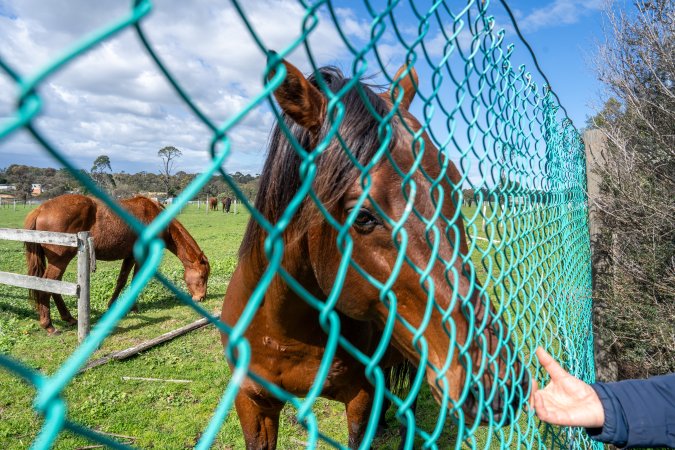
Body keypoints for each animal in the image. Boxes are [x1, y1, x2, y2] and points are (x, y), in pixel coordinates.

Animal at [24, 194, 210, 334]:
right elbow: (135, 280)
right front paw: (133, 307)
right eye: (203, 276)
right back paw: (49, 325)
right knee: (47, 286)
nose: (201, 297)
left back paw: (68, 318)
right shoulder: (142, 256)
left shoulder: (130, 257)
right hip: (59, 260)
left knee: (55, 286)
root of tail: (41, 209)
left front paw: (112, 305)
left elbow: (121, 280)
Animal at [220, 59, 528, 449]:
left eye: (455, 186)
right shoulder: (251, 402)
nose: (500, 383)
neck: (283, 331)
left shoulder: (360, 397)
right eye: (363, 217)